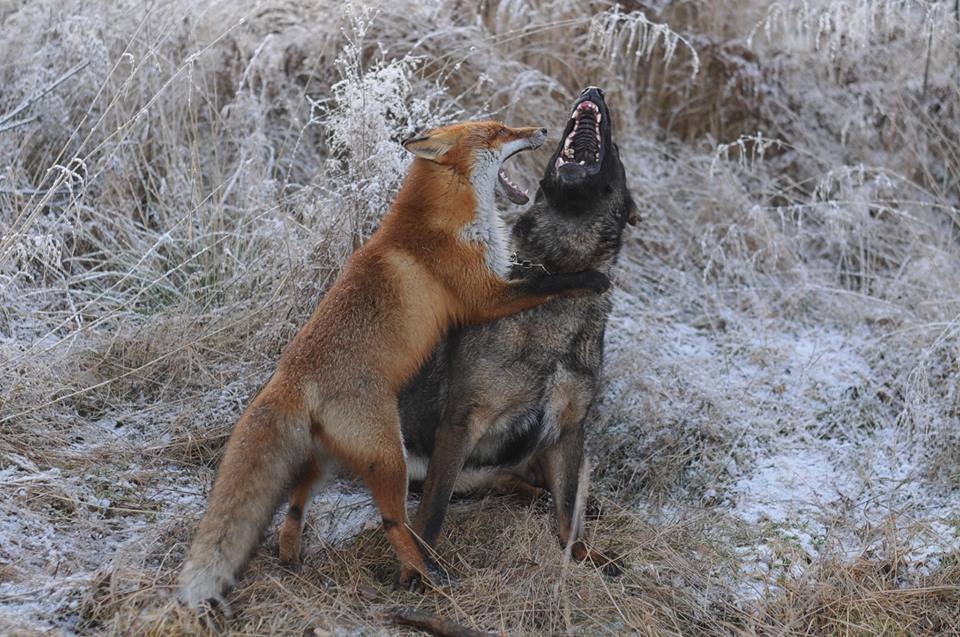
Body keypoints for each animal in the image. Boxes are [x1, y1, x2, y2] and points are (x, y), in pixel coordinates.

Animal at [176, 119, 608, 608]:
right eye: (497, 131)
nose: (541, 128)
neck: (446, 219)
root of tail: (288, 375)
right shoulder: (485, 297)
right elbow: (549, 283)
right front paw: (589, 277)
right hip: (391, 459)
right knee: (393, 521)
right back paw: (427, 572)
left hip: (331, 457)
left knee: (297, 497)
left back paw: (291, 554)